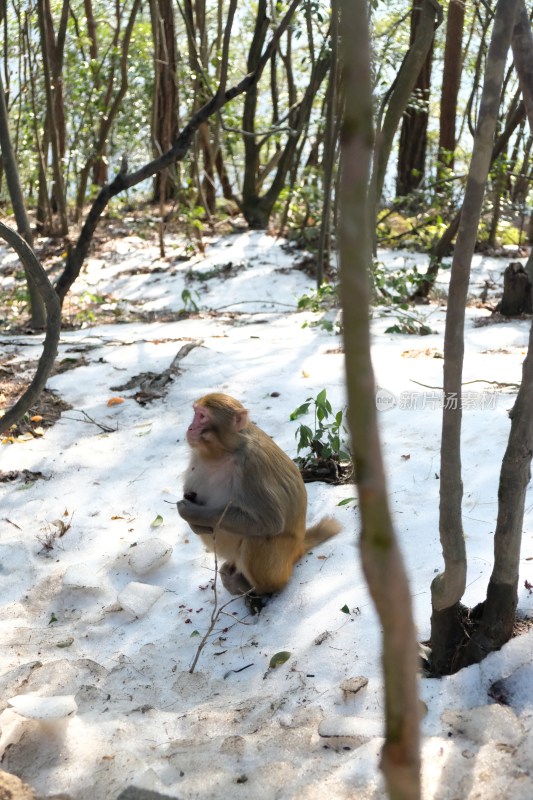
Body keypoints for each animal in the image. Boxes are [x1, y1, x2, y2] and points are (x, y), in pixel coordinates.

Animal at [177, 390, 338, 604]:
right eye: (196, 413)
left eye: (202, 416)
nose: (190, 427)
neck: (224, 451)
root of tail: (299, 547)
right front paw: (194, 523)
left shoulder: (252, 468)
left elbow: (270, 522)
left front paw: (192, 514)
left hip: (279, 564)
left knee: (256, 539)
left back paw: (257, 589)